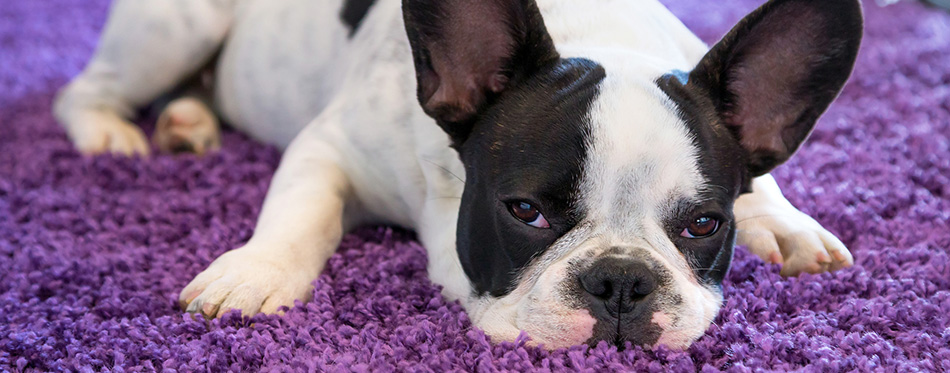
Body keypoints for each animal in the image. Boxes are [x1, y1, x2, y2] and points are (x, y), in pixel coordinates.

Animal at [55, 0, 868, 348]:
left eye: (703, 225)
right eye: (525, 212)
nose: (621, 280)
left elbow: (767, 181)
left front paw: (788, 225)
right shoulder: (330, 146)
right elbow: (299, 214)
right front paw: (253, 273)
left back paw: (188, 122)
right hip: (176, 28)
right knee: (84, 91)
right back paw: (113, 134)